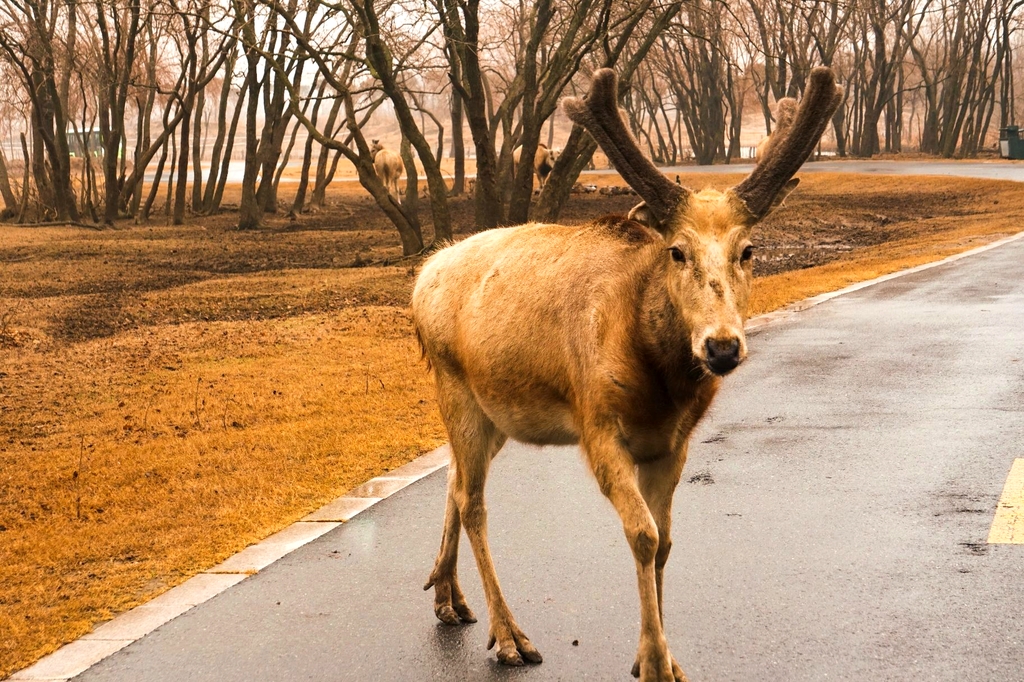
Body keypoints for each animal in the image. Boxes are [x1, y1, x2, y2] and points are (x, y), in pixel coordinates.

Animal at [412, 67, 842, 681]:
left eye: (749, 250)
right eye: (677, 251)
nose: (721, 346)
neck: (659, 385)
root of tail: (420, 277)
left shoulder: (673, 442)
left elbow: (665, 542)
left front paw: (662, 658)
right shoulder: (598, 425)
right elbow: (641, 534)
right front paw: (655, 662)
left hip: (496, 414)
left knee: (454, 480)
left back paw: (448, 597)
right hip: (455, 390)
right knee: (474, 502)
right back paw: (511, 635)